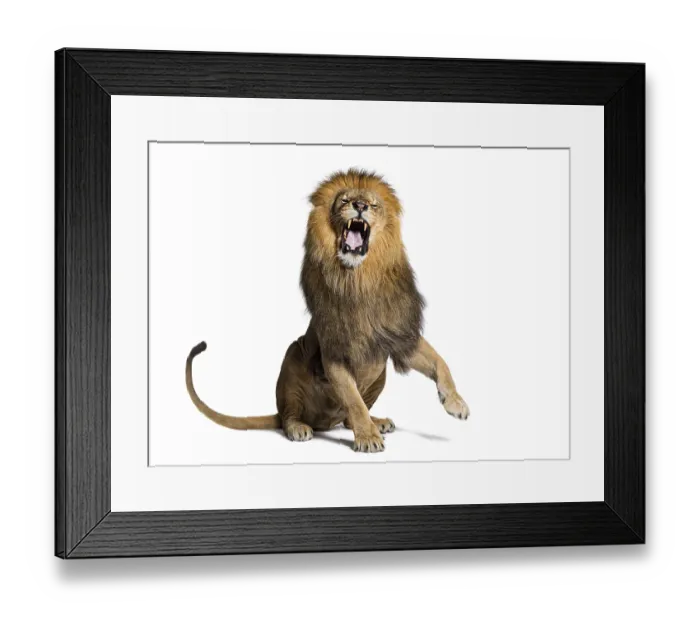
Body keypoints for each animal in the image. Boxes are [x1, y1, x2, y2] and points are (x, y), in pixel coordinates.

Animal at [186, 168, 469, 453]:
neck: (360, 279)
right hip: (293, 355)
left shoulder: (397, 332)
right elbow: (353, 400)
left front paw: (456, 402)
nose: (360, 206)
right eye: (345, 201)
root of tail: (324, 422)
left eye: (373, 204)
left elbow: (439, 361)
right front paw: (367, 438)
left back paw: (376, 422)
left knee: (348, 418)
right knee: (291, 415)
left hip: (380, 375)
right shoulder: (334, 348)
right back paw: (300, 427)